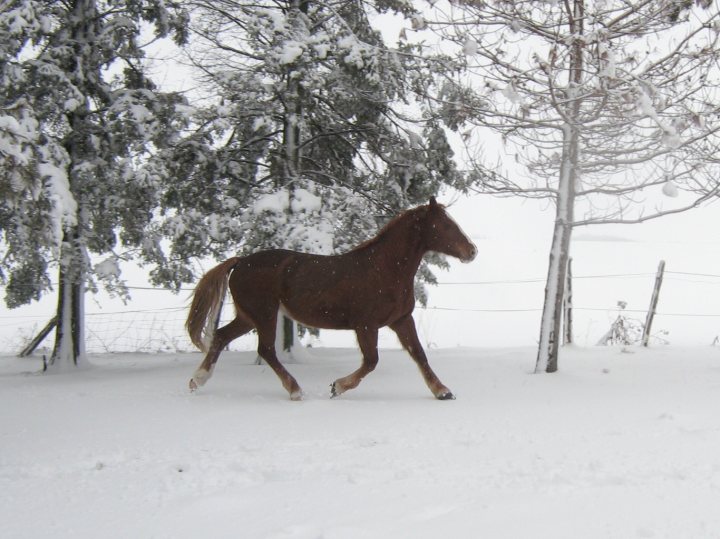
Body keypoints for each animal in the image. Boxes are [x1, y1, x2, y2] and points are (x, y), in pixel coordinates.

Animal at [186, 197, 477, 400]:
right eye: (446, 225)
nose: (472, 251)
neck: (384, 269)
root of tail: (240, 261)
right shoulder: (366, 326)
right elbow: (371, 362)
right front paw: (337, 387)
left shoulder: (401, 320)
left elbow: (420, 355)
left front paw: (442, 391)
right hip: (264, 314)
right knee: (265, 350)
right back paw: (295, 390)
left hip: (248, 316)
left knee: (221, 336)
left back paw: (197, 380)